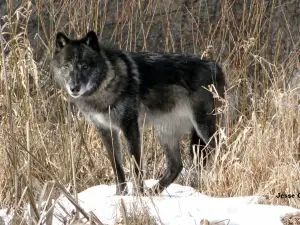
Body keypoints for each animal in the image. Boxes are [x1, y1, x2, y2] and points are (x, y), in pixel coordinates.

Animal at [52, 30, 225, 195]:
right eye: (66, 66)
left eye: (85, 66)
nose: (74, 88)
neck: (105, 85)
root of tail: (216, 66)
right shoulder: (105, 130)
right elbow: (117, 166)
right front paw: (120, 195)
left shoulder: (129, 125)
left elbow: (136, 165)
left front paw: (138, 195)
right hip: (165, 132)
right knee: (176, 166)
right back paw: (153, 192)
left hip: (204, 129)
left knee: (221, 150)